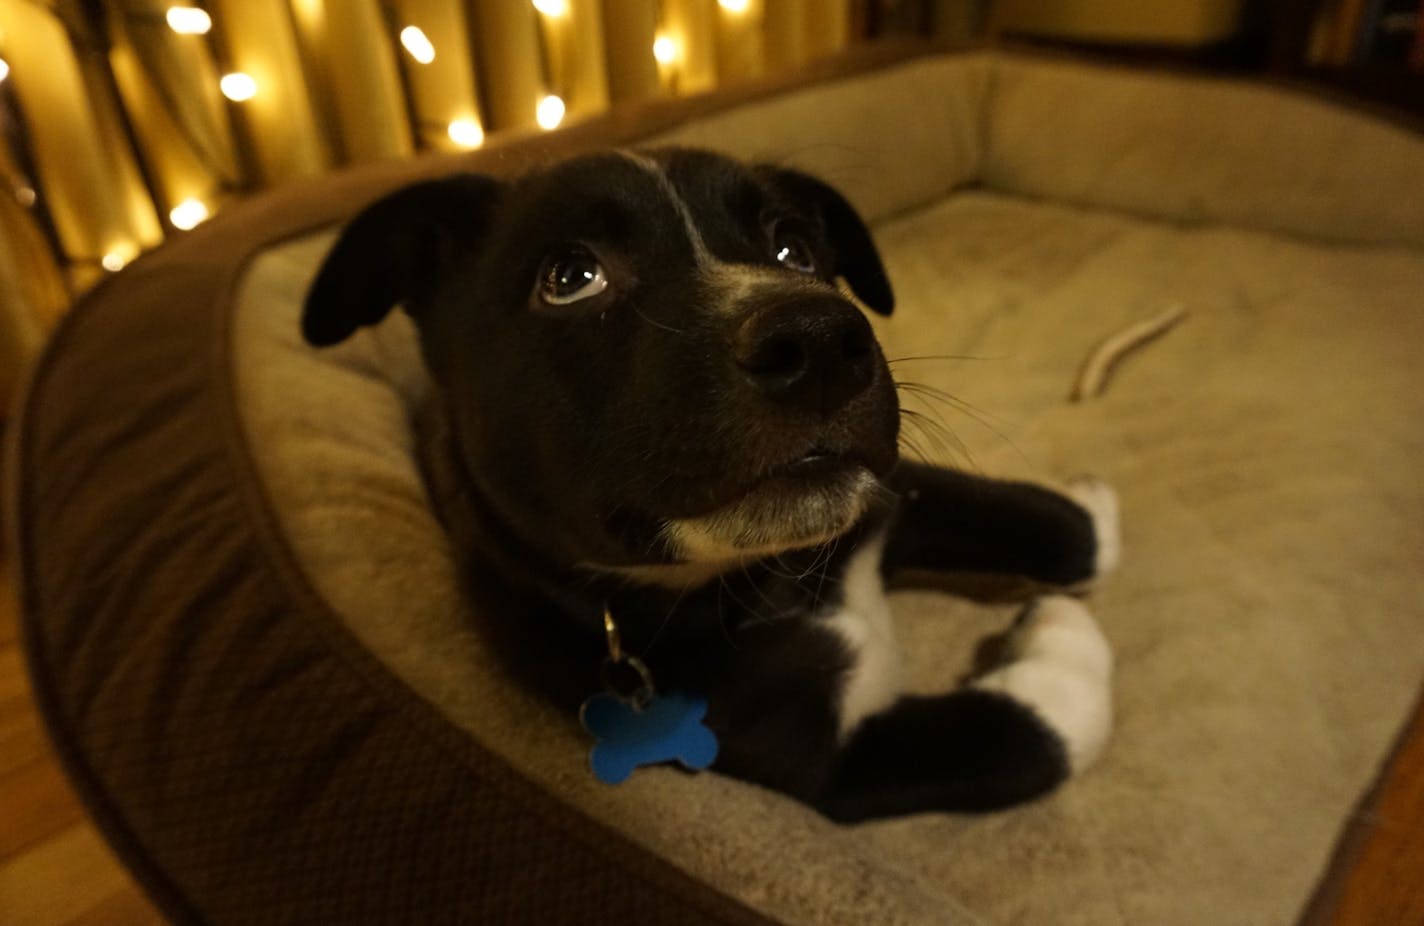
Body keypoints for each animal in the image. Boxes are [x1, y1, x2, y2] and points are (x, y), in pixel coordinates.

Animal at [306, 148, 1116, 820]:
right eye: (569, 278)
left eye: (796, 248)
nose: (821, 342)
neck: (768, 586)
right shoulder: (820, 764)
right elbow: (1023, 735)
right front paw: (1059, 637)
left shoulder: (883, 495)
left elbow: (1020, 512)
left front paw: (1093, 508)